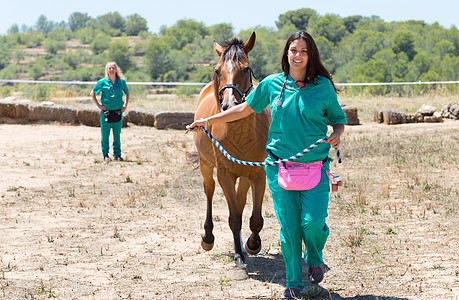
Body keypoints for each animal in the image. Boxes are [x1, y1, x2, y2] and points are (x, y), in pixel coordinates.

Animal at [192, 32, 272, 270]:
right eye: (218, 70)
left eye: (246, 69)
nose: (229, 105)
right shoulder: (224, 174)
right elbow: (234, 217)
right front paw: (238, 256)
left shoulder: (258, 173)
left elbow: (255, 218)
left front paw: (252, 244)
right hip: (206, 165)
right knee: (209, 190)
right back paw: (208, 237)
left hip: (244, 175)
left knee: (240, 199)